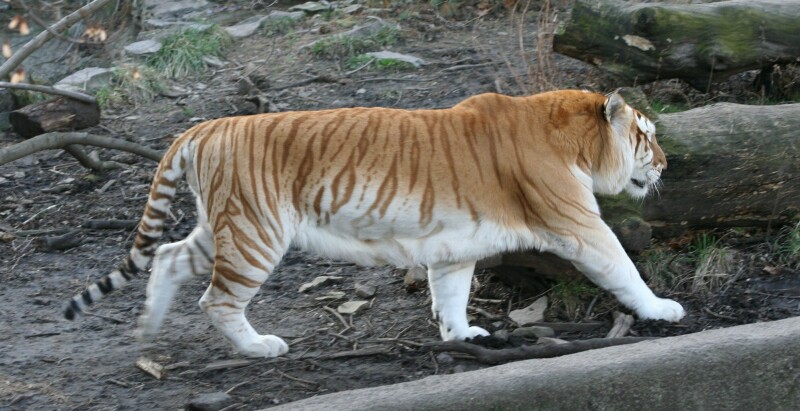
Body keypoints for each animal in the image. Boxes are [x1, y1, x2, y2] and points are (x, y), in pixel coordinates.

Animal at [64, 89, 684, 358]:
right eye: (646, 136)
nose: (666, 164)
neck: (575, 141)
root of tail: (204, 127)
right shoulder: (579, 224)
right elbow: (623, 267)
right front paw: (662, 310)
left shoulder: (456, 245)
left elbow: (452, 293)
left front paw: (462, 336)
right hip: (254, 234)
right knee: (216, 300)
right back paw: (259, 347)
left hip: (224, 229)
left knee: (169, 257)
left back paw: (146, 330)